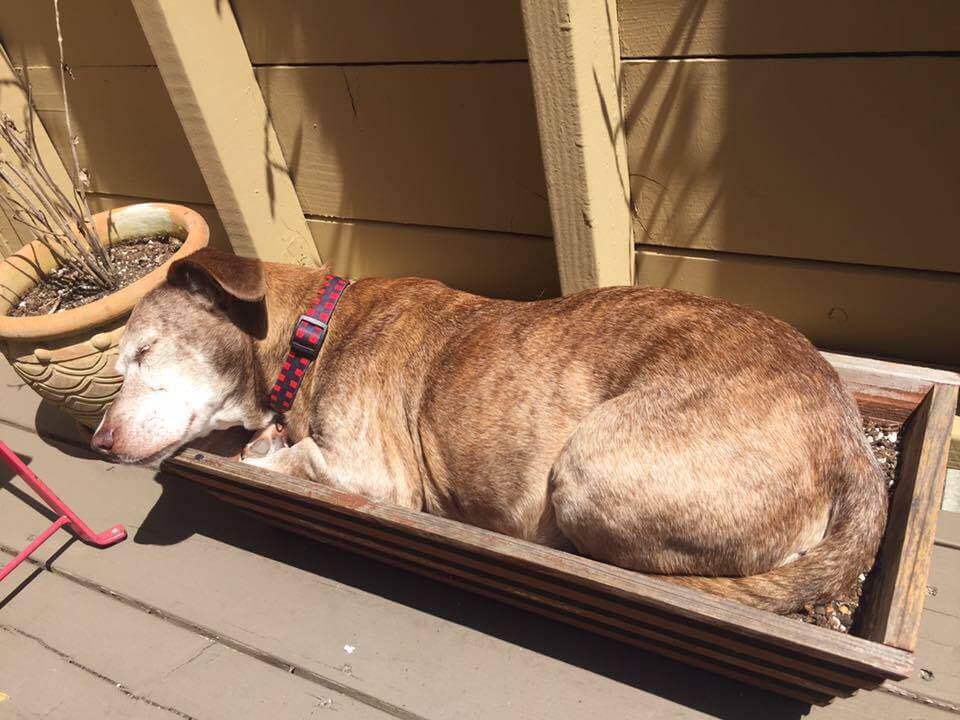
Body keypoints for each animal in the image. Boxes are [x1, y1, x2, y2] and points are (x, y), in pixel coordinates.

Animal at [94, 249, 888, 612]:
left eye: (145, 352)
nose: (98, 440)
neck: (305, 335)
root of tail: (852, 448)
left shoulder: (370, 471)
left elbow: (286, 461)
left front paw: (262, 454)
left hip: (588, 469)